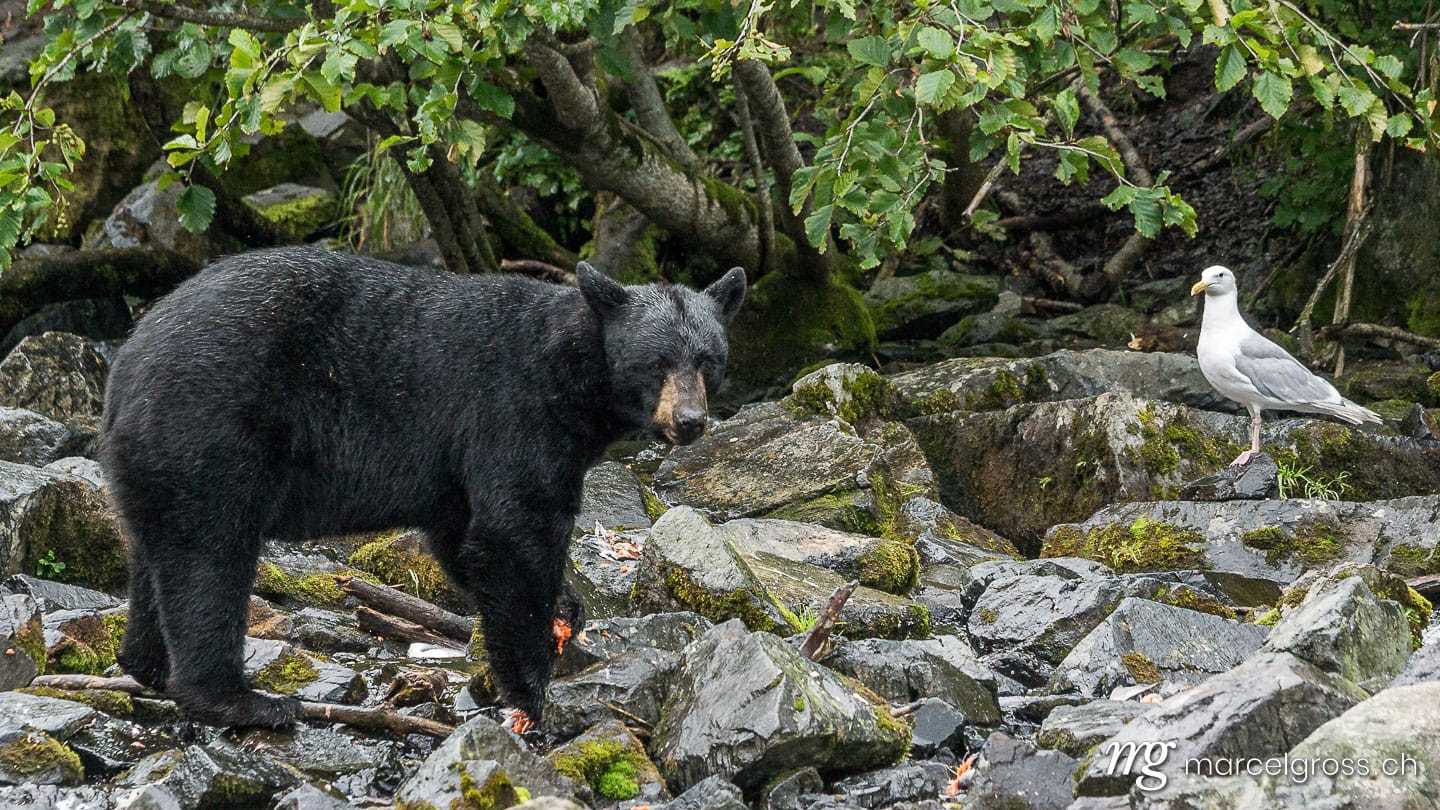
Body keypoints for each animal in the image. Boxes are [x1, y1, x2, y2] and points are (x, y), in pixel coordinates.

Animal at [100, 246, 746, 730]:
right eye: (656, 362)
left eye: (707, 359)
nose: (690, 421)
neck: (570, 367)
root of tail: (127, 364)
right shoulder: (512, 409)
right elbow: (513, 531)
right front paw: (532, 690)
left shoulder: (462, 459)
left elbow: (462, 534)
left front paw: (566, 606)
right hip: (210, 432)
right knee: (209, 557)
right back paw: (241, 700)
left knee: (154, 556)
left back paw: (144, 665)